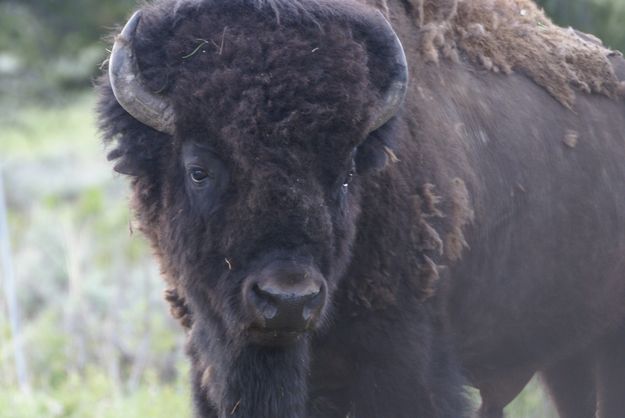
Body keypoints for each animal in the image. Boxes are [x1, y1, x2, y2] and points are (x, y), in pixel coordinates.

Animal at [96, 0, 624, 416]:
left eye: (347, 172)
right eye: (198, 170)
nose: (289, 301)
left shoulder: (405, 370)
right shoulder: (211, 364)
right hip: (565, 354)